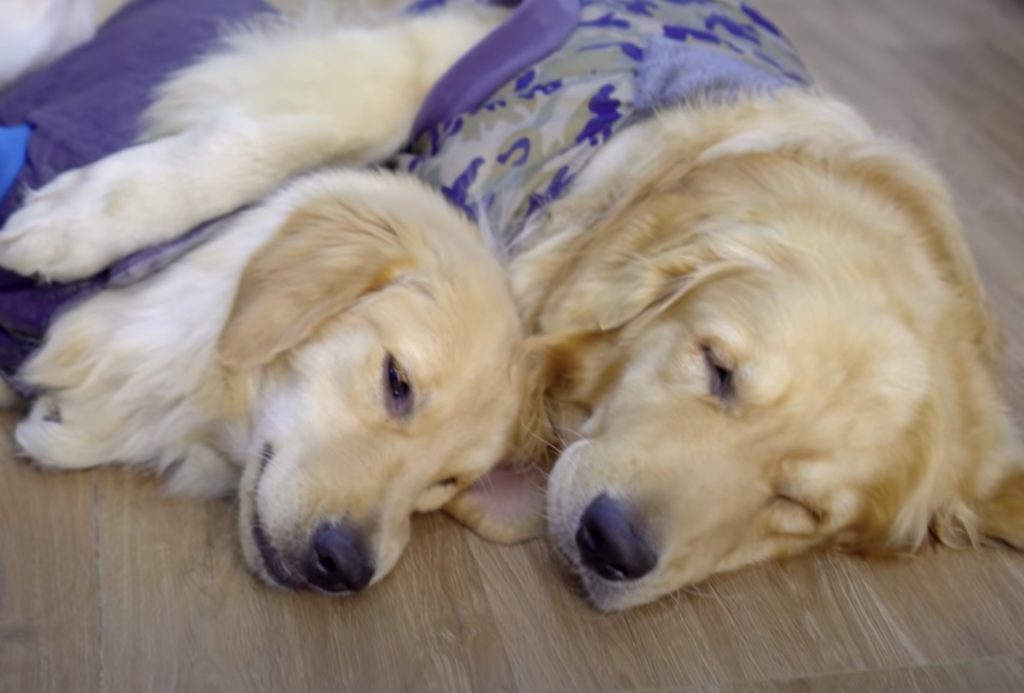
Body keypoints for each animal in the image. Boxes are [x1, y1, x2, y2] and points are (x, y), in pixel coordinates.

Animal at [1, 0, 1019, 611]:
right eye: (718, 368)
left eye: (802, 511)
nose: (611, 545)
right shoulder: (440, 47)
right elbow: (297, 133)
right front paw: (71, 223)